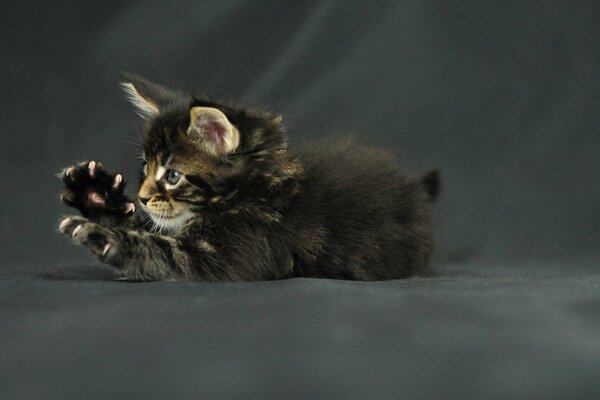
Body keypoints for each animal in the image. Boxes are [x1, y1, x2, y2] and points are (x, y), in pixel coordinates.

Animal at [57, 75, 440, 282]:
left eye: (173, 175)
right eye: (145, 168)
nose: (143, 196)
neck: (258, 188)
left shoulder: (223, 256)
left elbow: (155, 250)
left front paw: (102, 235)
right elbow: (147, 226)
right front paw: (94, 192)